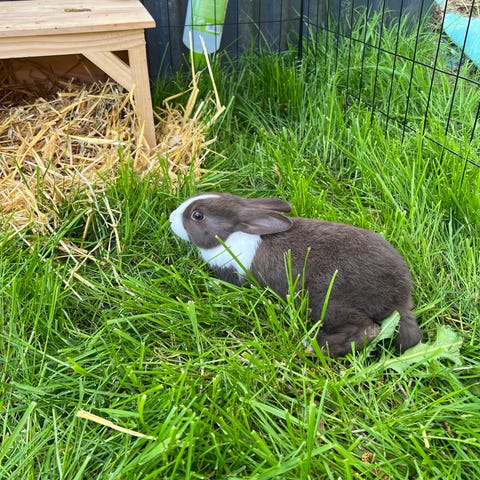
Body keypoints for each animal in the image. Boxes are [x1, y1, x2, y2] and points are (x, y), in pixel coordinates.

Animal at [169, 192, 422, 357]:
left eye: (198, 215)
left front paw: (211, 284)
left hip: (326, 300)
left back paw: (314, 346)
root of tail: (398, 299)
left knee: (368, 331)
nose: (171, 217)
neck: (232, 235)